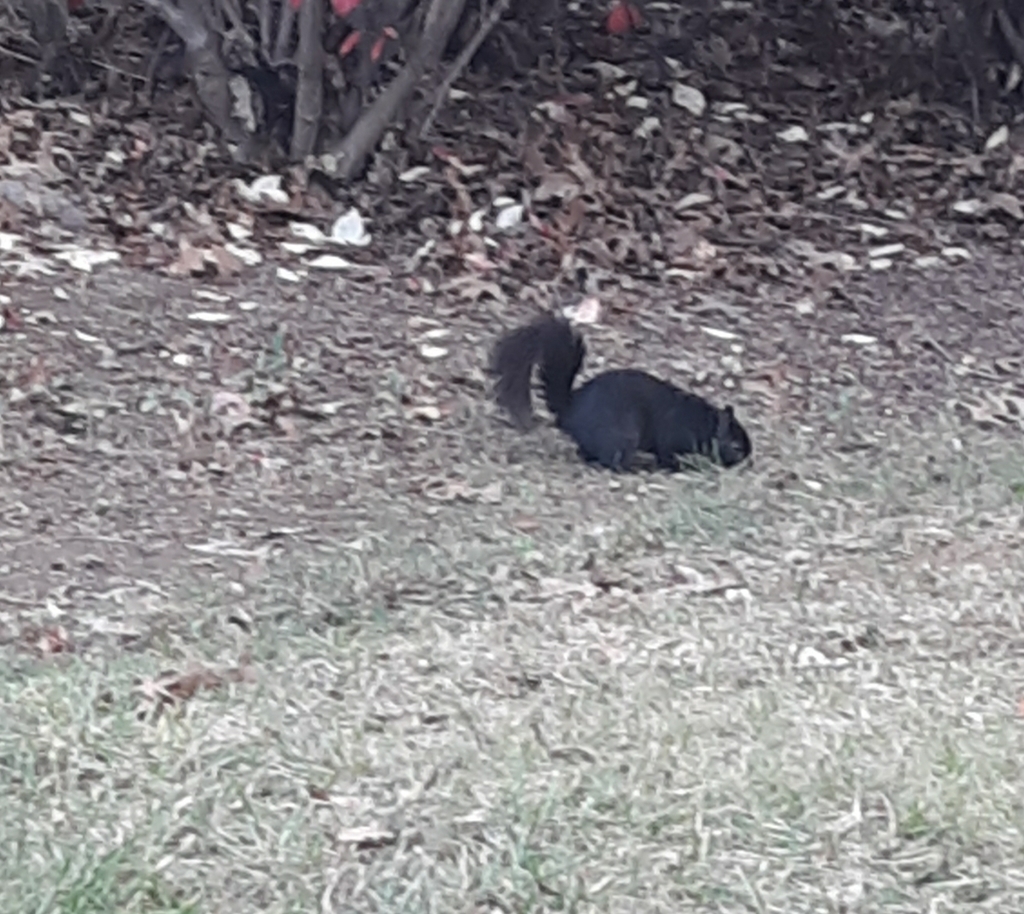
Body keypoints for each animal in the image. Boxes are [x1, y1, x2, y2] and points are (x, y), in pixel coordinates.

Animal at [490, 313, 752, 472]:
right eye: (736, 446)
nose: (746, 461)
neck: (702, 423)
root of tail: (569, 410)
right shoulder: (673, 436)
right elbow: (667, 456)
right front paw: (679, 467)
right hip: (622, 437)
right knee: (610, 460)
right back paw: (633, 467)